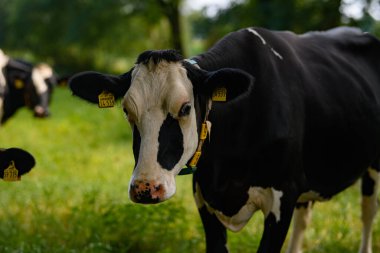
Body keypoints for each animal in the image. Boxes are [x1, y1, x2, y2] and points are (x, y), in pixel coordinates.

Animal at [68, 26, 380, 252]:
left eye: (185, 108)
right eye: (126, 111)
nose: (146, 188)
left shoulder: (283, 196)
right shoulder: (204, 198)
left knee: (367, 212)